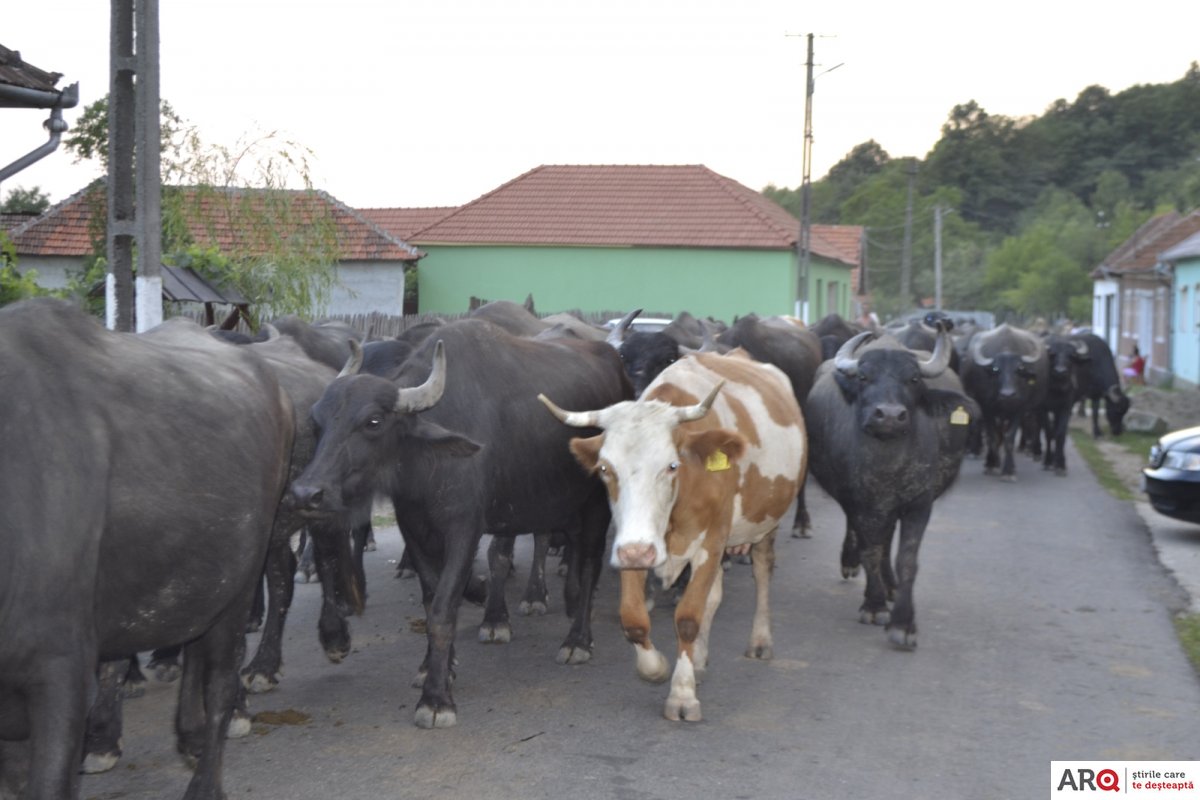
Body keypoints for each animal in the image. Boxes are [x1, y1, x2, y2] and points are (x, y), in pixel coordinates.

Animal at [289, 316, 633, 729]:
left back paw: (577, 640)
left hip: (597, 503)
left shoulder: (464, 529)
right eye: (316, 421)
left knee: (591, 561)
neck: (427, 463)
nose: (306, 493)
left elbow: (444, 607)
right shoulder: (415, 529)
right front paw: (436, 666)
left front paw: (436, 698)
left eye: (373, 421)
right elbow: (429, 599)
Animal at [542, 347, 806, 719]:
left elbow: (688, 618)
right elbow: (634, 619)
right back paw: (698, 661)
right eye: (606, 469)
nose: (637, 552)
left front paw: (682, 695)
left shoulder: (711, 541)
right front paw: (658, 669)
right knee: (714, 596)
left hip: (766, 523)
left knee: (763, 570)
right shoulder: (633, 542)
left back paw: (760, 641)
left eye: (671, 466)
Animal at [806, 331, 974, 652]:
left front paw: (903, 624)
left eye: (913, 379)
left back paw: (891, 586)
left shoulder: (918, 505)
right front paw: (874, 605)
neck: (888, 462)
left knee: (887, 540)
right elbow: (870, 551)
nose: (889, 415)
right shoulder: (861, 503)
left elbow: (906, 559)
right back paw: (854, 566)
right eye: (863, 376)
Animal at [960, 321, 1046, 482]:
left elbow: (1009, 438)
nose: (1008, 394)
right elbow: (993, 437)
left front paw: (1008, 471)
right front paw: (992, 464)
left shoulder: (1019, 409)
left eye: (1019, 369)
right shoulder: (987, 408)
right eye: (996, 369)